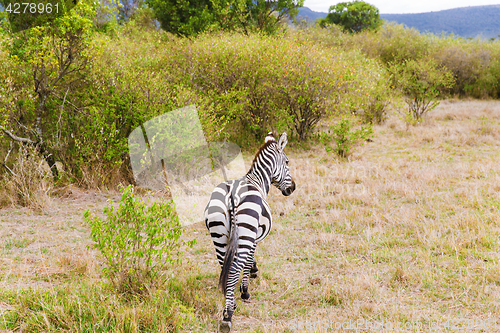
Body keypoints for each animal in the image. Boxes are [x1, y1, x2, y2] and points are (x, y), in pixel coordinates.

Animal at [204, 131, 294, 330]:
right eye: (287, 162)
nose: (293, 188)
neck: (257, 181)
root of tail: (231, 196)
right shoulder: (254, 237)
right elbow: (247, 262)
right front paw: (246, 288)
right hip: (244, 233)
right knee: (234, 268)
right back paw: (228, 315)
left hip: (219, 235)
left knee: (224, 266)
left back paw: (229, 303)